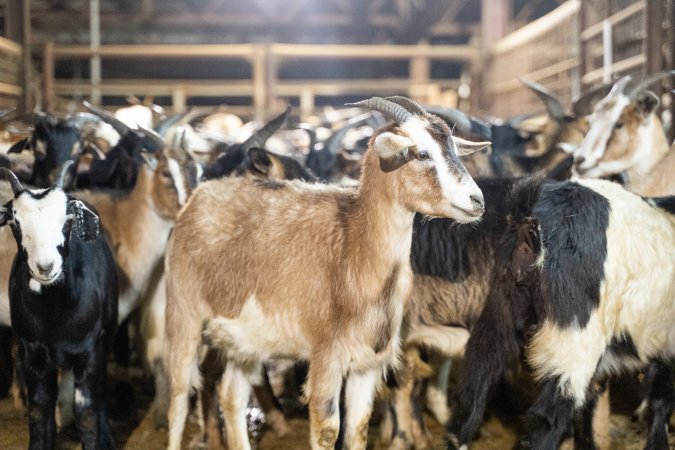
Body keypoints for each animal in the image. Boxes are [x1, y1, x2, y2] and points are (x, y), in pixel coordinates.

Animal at [0, 164, 119, 450]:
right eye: (15, 223)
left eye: (67, 220)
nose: (45, 267)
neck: (53, 316)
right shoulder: (32, 353)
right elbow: (38, 409)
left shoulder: (89, 352)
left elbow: (85, 412)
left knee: (100, 390)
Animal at [164, 97, 486, 450]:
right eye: (421, 153)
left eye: (454, 149)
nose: (477, 200)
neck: (354, 250)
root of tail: (197, 199)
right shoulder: (325, 356)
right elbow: (327, 429)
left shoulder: (368, 363)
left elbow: (358, 427)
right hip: (184, 314)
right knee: (179, 396)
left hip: (243, 338)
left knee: (231, 395)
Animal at [448, 177, 675, 450]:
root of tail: (528, 222)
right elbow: (661, 401)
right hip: (572, 340)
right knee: (547, 419)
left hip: (499, 313)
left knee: (473, 389)